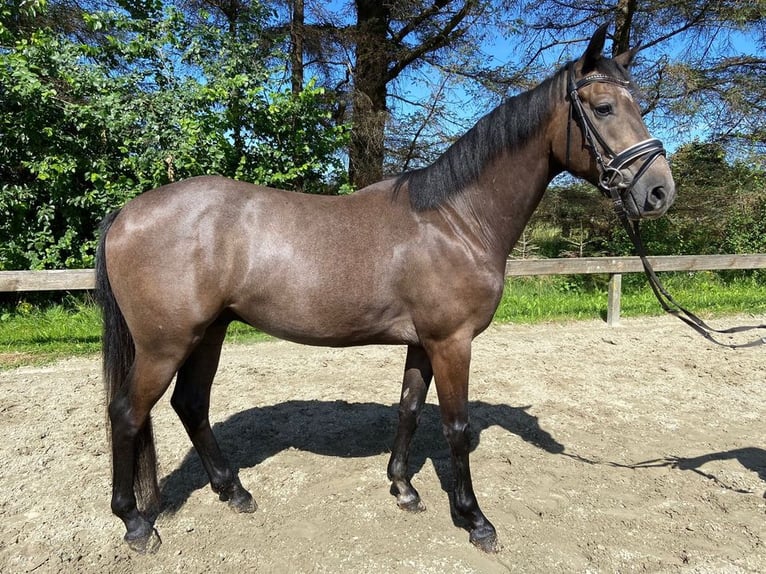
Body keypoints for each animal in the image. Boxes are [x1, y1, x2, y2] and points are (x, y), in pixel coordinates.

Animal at [97, 24, 680, 556]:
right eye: (603, 107)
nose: (658, 192)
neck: (456, 220)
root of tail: (126, 214)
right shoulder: (452, 342)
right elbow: (456, 426)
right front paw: (474, 520)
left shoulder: (424, 343)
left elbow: (409, 409)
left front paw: (403, 488)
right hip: (165, 344)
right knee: (127, 413)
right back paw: (134, 524)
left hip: (209, 333)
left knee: (191, 405)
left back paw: (234, 492)